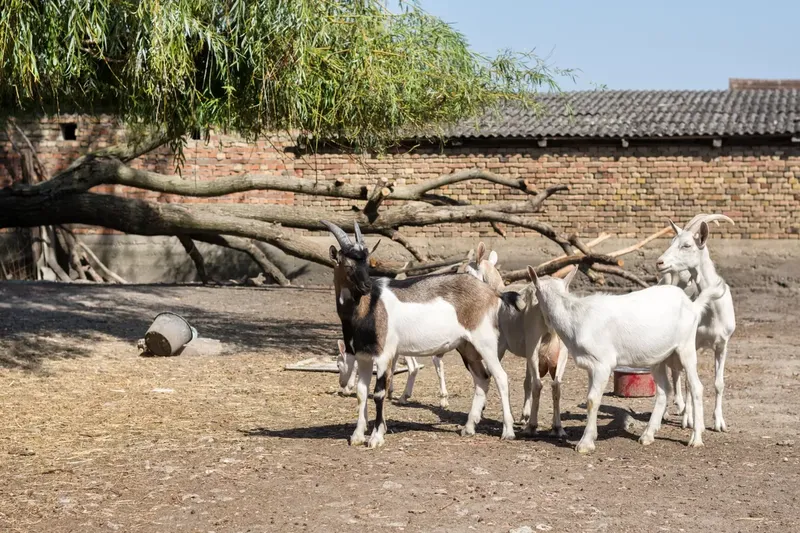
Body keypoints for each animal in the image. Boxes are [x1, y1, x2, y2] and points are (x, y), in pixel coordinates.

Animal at [322, 220, 516, 448]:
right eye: (347, 264)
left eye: (367, 262)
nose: (367, 286)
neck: (368, 307)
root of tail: (491, 293)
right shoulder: (363, 356)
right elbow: (362, 393)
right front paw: (358, 436)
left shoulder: (383, 355)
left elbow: (378, 393)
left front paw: (376, 438)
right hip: (466, 347)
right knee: (482, 378)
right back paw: (468, 428)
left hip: (484, 341)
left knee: (500, 377)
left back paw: (508, 431)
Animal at [461, 242, 569, 437]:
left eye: (467, 272)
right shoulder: (527, 352)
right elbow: (527, 381)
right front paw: (523, 415)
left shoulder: (500, 346)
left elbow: (492, 374)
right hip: (561, 348)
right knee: (556, 384)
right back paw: (557, 427)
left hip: (535, 342)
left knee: (540, 384)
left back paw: (533, 426)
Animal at [527, 246, 725, 453]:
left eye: (535, 293)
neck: (576, 317)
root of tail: (693, 305)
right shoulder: (591, 366)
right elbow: (591, 398)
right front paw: (591, 436)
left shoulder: (603, 363)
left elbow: (592, 400)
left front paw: (585, 443)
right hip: (658, 357)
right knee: (664, 390)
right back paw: (647, 436)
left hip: (686, 346)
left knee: (696, 387)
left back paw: (696, 439)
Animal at [656, 214, 736, 432]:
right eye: (671, 241)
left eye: (687, 245)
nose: (660, 262)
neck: (713, 311)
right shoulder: (694, 344)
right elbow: (689, 383)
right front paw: (689, 420)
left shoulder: (722, 344)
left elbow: (719, 383)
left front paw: (719, 423)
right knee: (676, 373)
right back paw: (676, 410)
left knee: (676, 371)